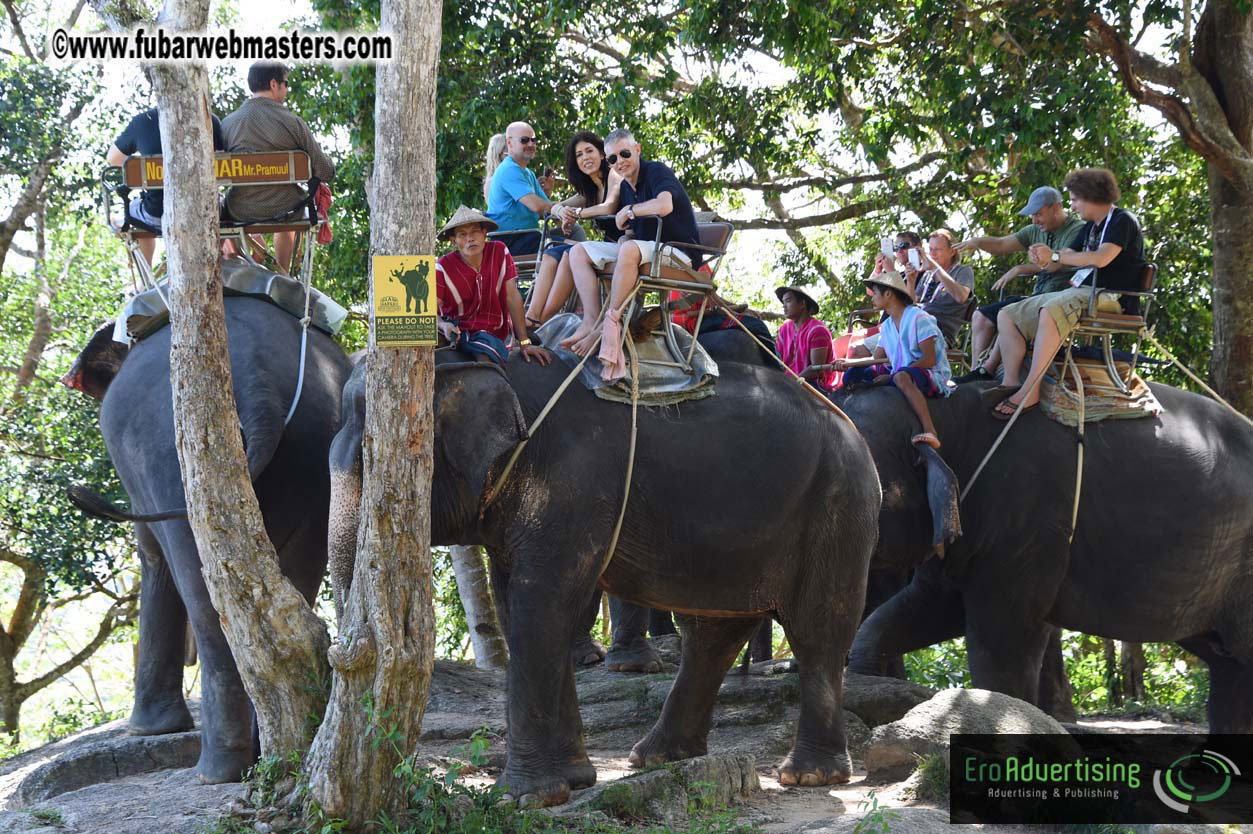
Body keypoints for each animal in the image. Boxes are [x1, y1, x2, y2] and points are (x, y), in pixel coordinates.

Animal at [62, 297, 352, 782]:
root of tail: (256, 380)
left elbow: (153, 559)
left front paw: (148, 731)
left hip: (169, 452)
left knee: (203, 593)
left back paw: (216, 770)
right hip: (317, 448)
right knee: (294, 583)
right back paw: (265, 752)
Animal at [328, 349, 881, 806]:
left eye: (374, 461)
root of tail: (853, 429)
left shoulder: (571, 486)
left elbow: (542, 604)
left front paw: (522, 798)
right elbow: (517, 608)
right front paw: (574, 781)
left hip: (838, 508)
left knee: (817, 630)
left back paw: (808, 776)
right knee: (713, 632)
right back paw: (656, 756)